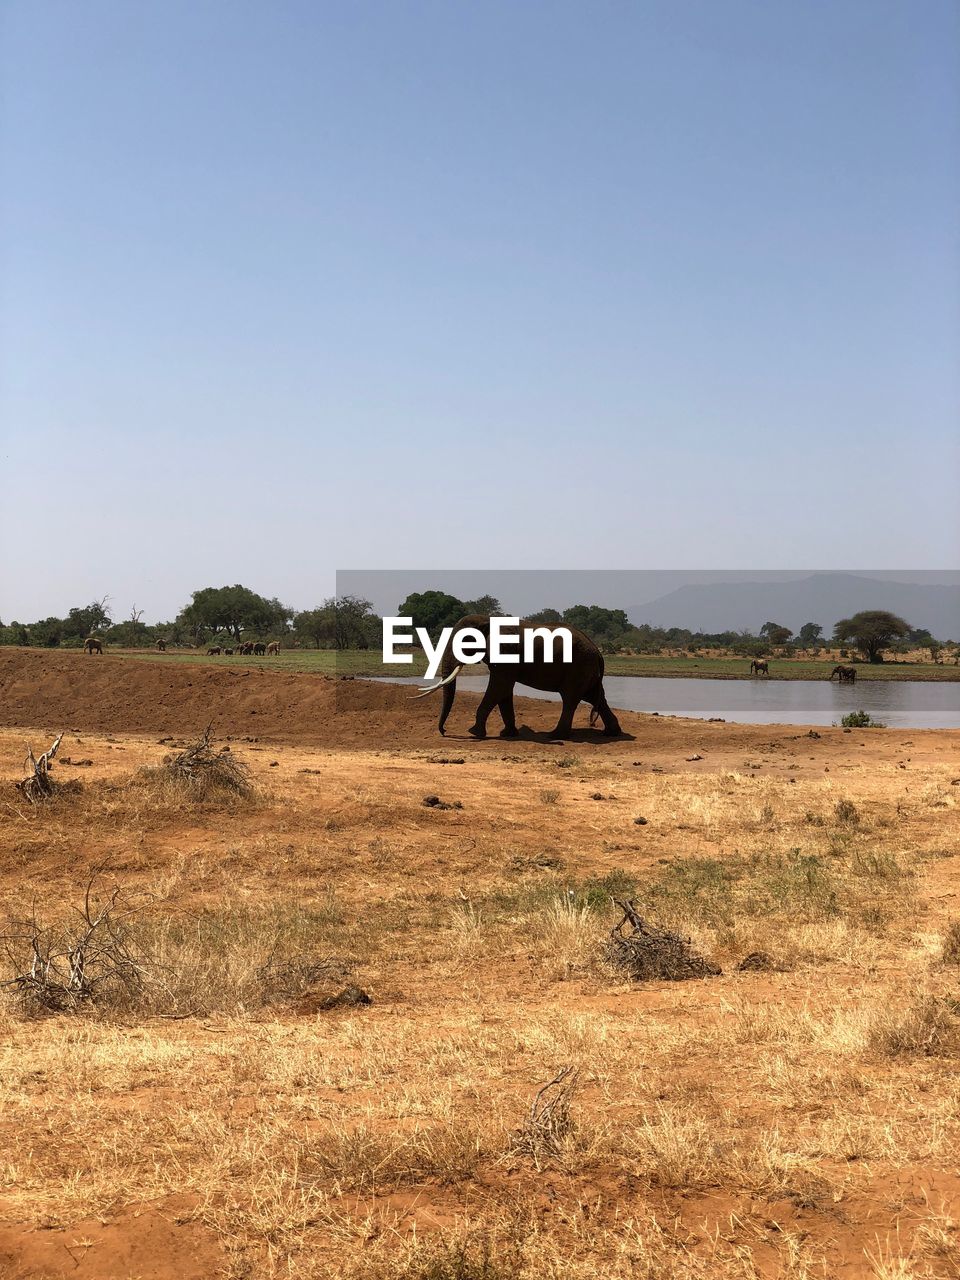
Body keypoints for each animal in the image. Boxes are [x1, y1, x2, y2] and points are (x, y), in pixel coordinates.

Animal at [414, 616, 624, 742]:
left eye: (463, 641)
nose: (444, 732)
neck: (486, 619)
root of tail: (598, 652)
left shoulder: (505, 653)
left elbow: (499, 687)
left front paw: (474, 733)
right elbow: (504, 691)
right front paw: (507, 734)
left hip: (578, 667)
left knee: (570, 698)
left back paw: (555, 735)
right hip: (586, 670)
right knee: (594, 697)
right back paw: (611, 733)